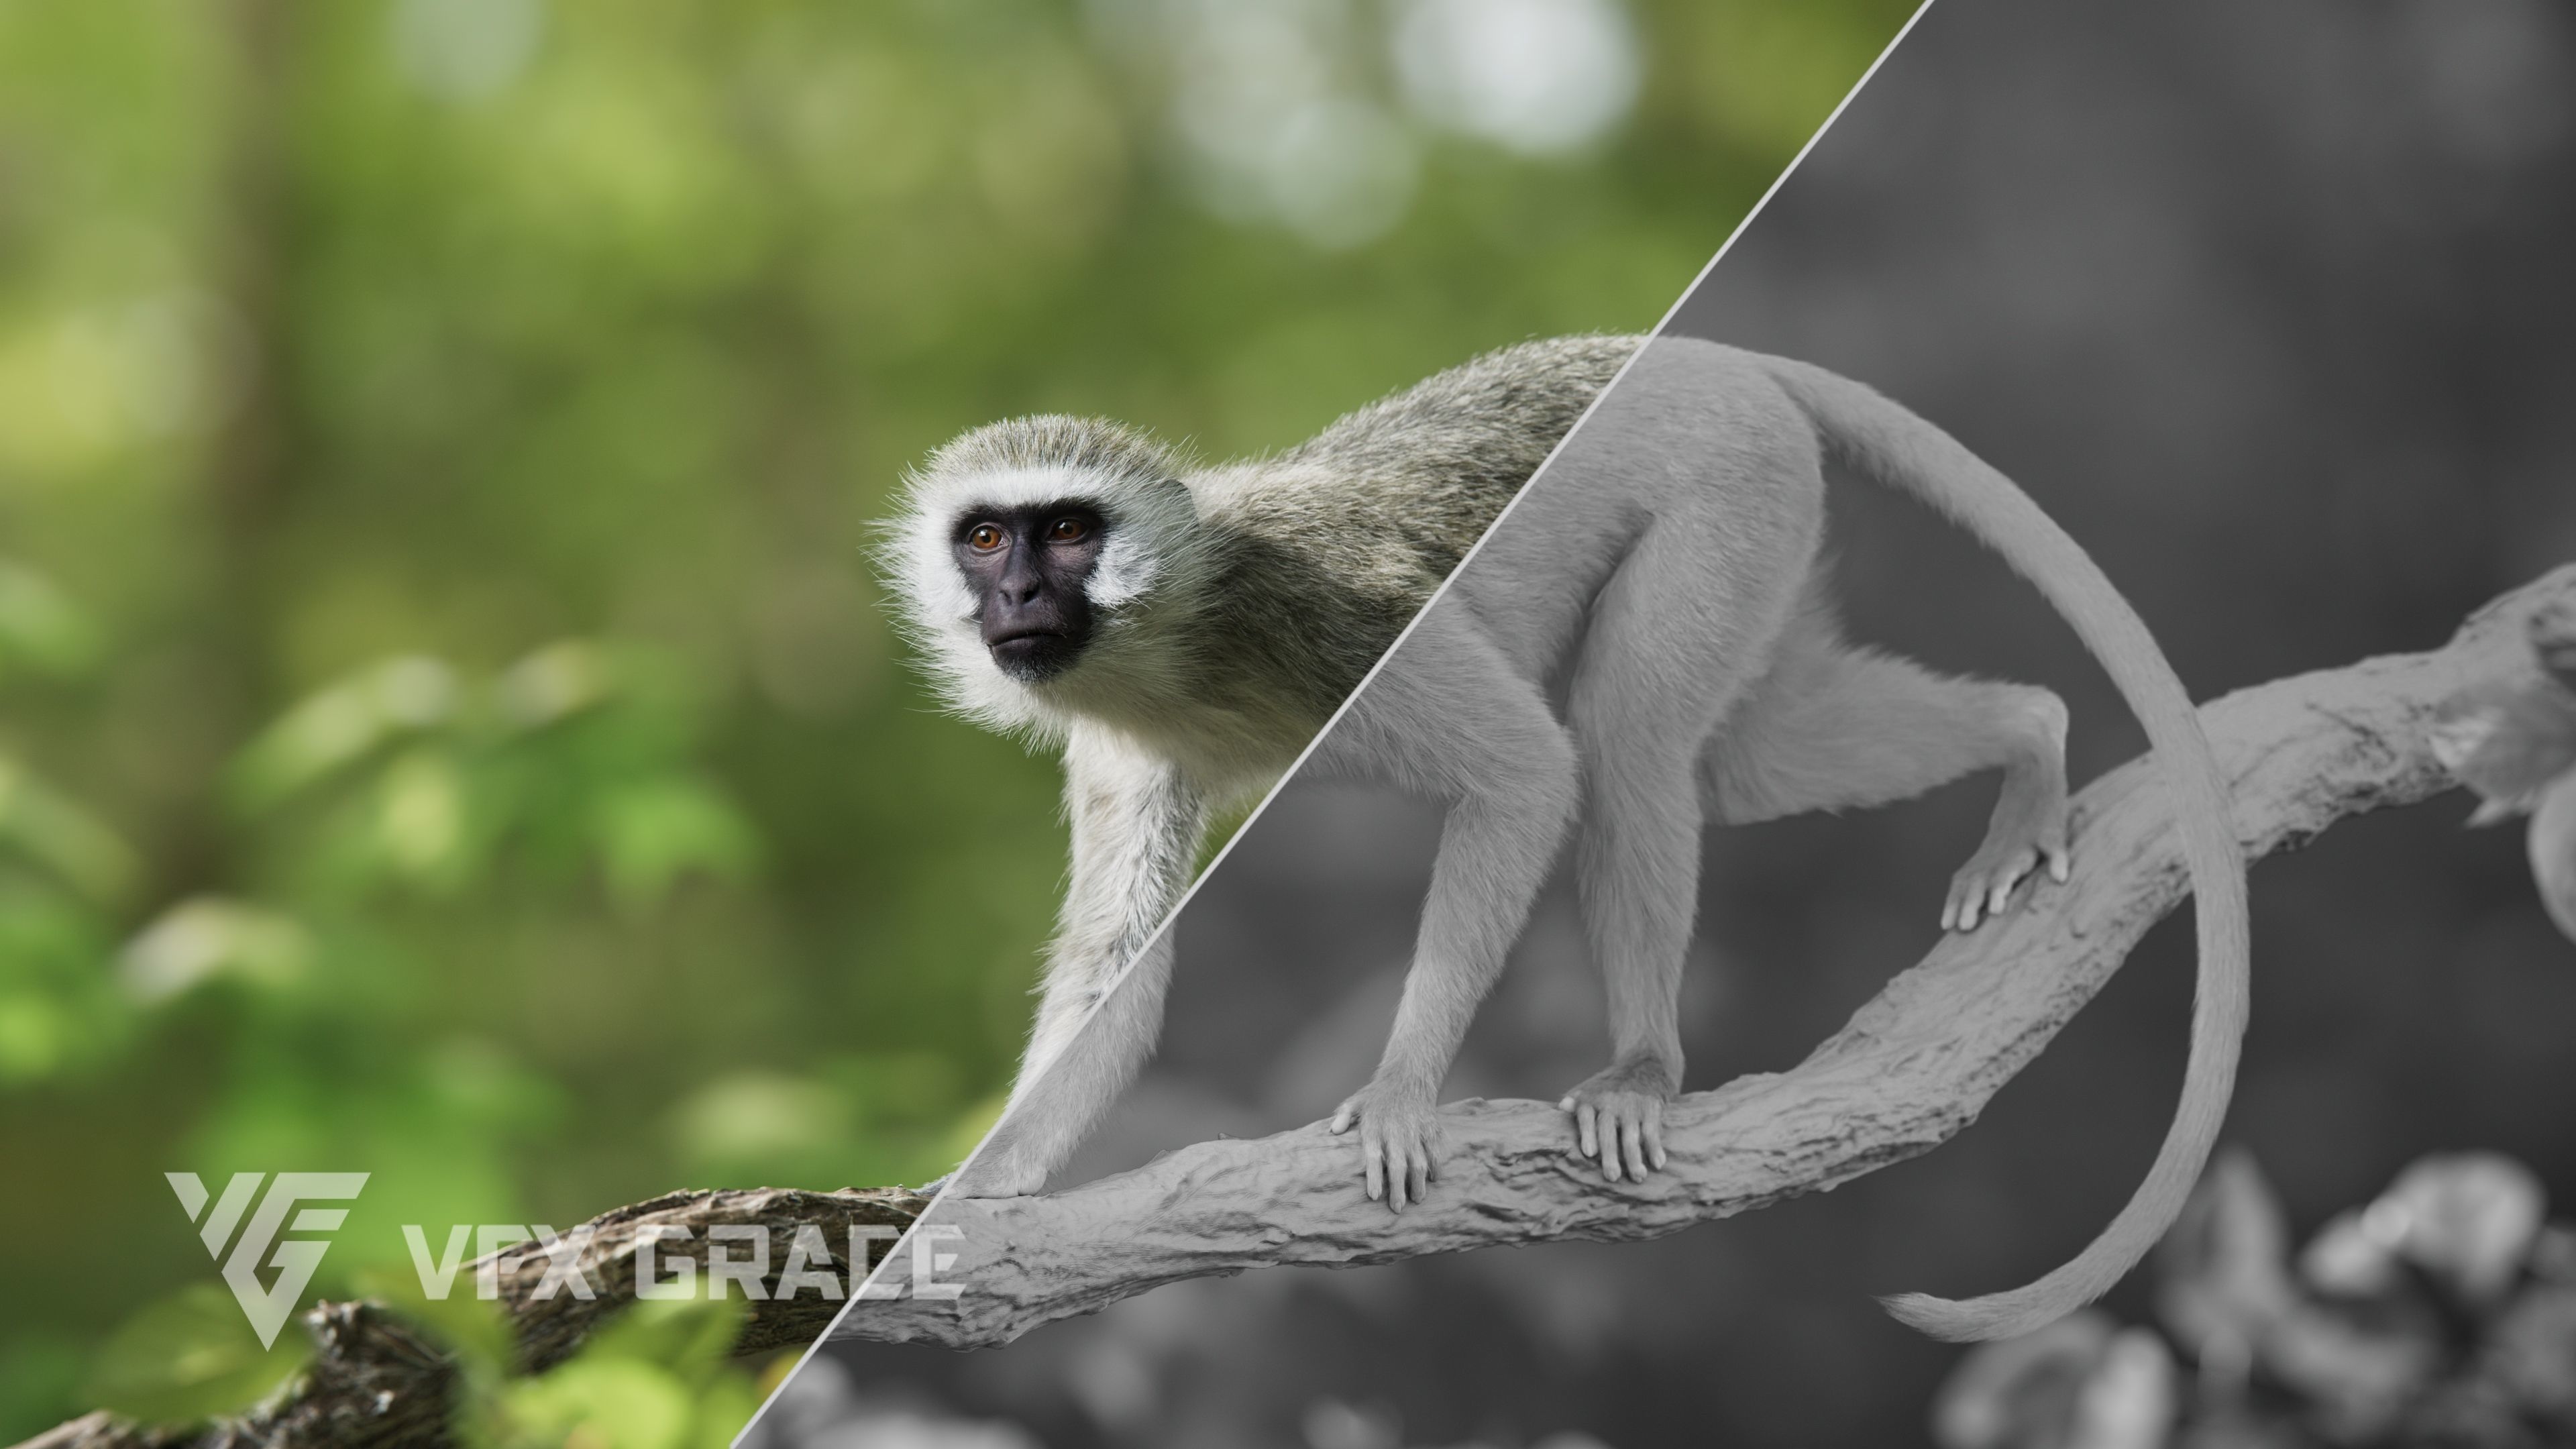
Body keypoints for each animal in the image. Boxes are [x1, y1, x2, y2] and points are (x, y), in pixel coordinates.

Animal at [882, 334, 2249, 1343]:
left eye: (1068, 531)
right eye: (988, 538)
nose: (1018, 595)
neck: (1179, 629)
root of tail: (1705, 355)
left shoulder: (1340, 610)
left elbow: (1525, 773)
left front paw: (1404, 1089)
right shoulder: (1119, 748)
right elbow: (1124, 955)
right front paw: (988, 1177)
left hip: (1730, 492)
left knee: (1629, 734)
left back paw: (1646, 1062)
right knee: (1746, 757)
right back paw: (2030, 733)